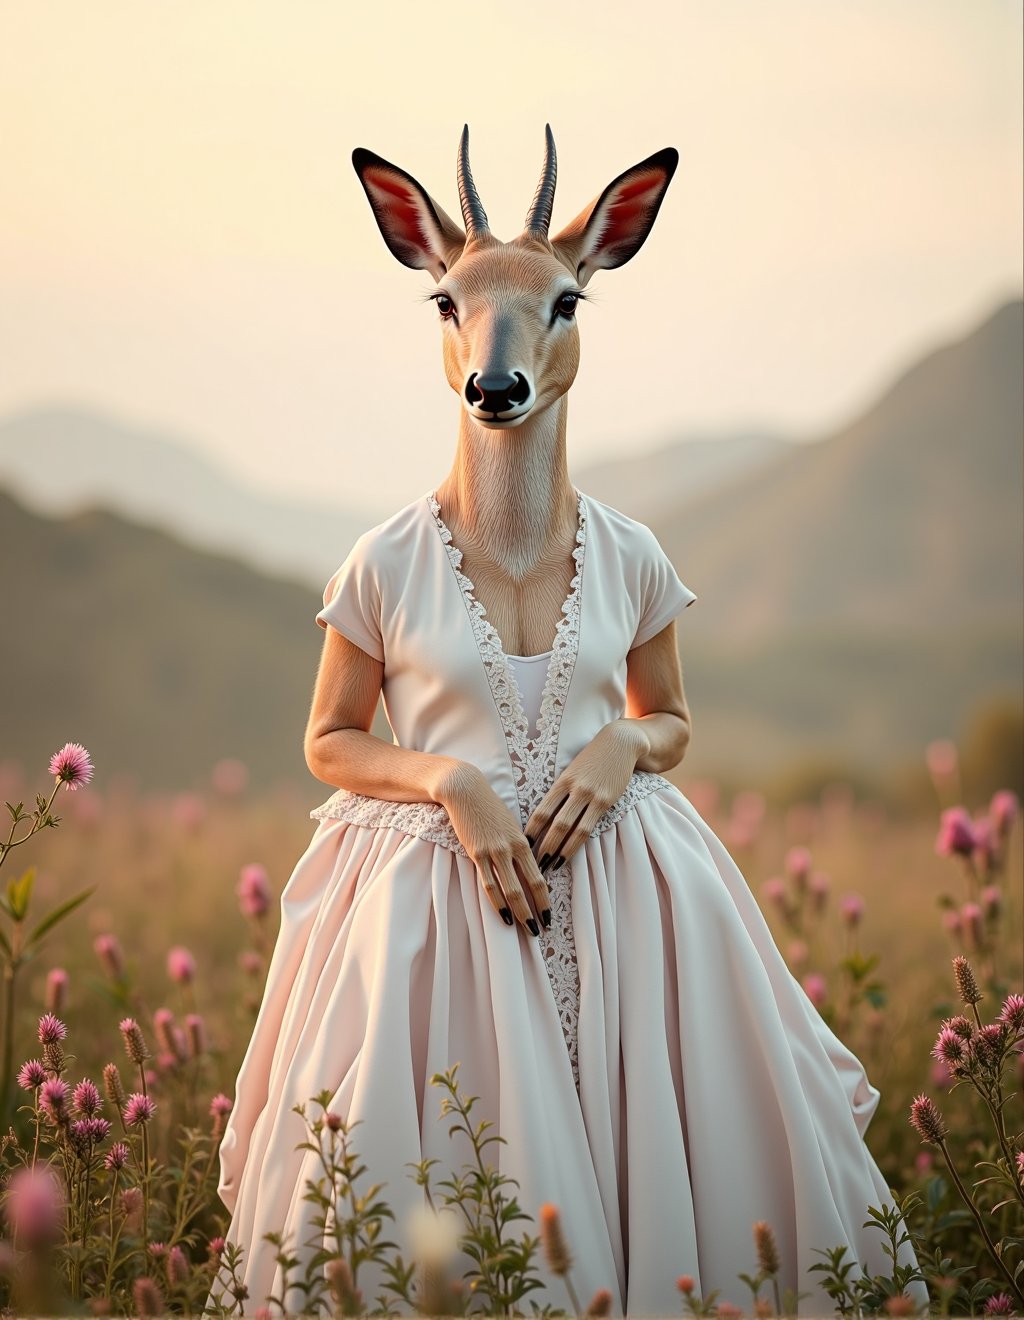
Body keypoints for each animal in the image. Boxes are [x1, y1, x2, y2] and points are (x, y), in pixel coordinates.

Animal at [304, 125, 691, 938]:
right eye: (445, 299)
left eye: (567, 298)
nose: (496, 388)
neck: (513, 550)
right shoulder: (344, 660)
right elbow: (366, 747)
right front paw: (509, 852)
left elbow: (646, 724)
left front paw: (568, 805)